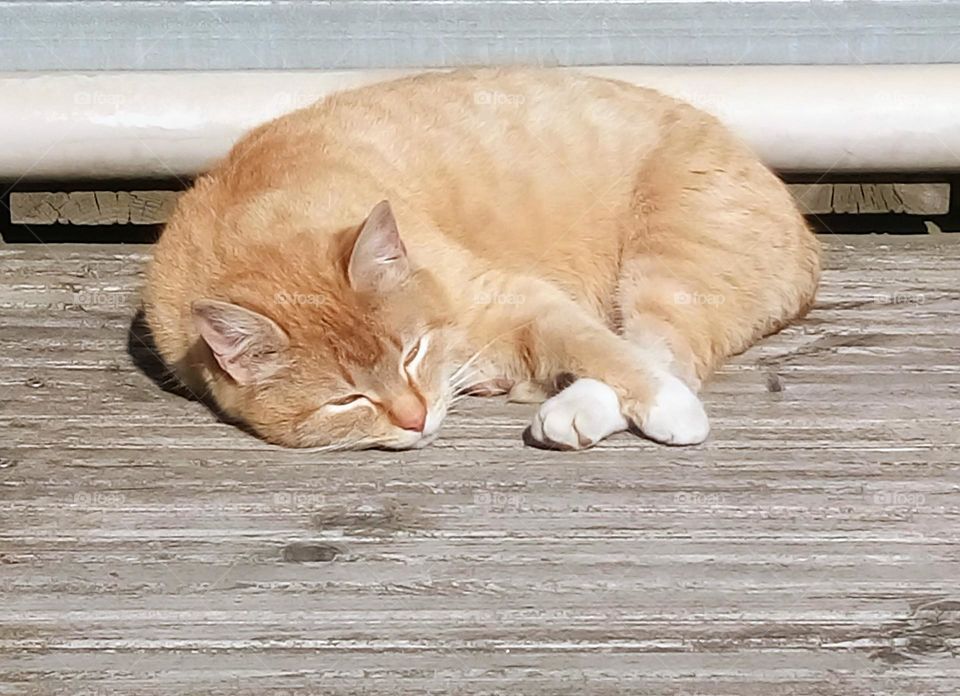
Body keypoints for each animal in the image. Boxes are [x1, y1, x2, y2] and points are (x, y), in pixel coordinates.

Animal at [142, 66, 816, 452]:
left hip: (669, 265)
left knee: (662, 351)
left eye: (411, 353)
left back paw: (579, 407)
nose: (415, 419)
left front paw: (668, 408)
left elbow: (602, 347)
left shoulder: (518, 295)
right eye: (346, 400)